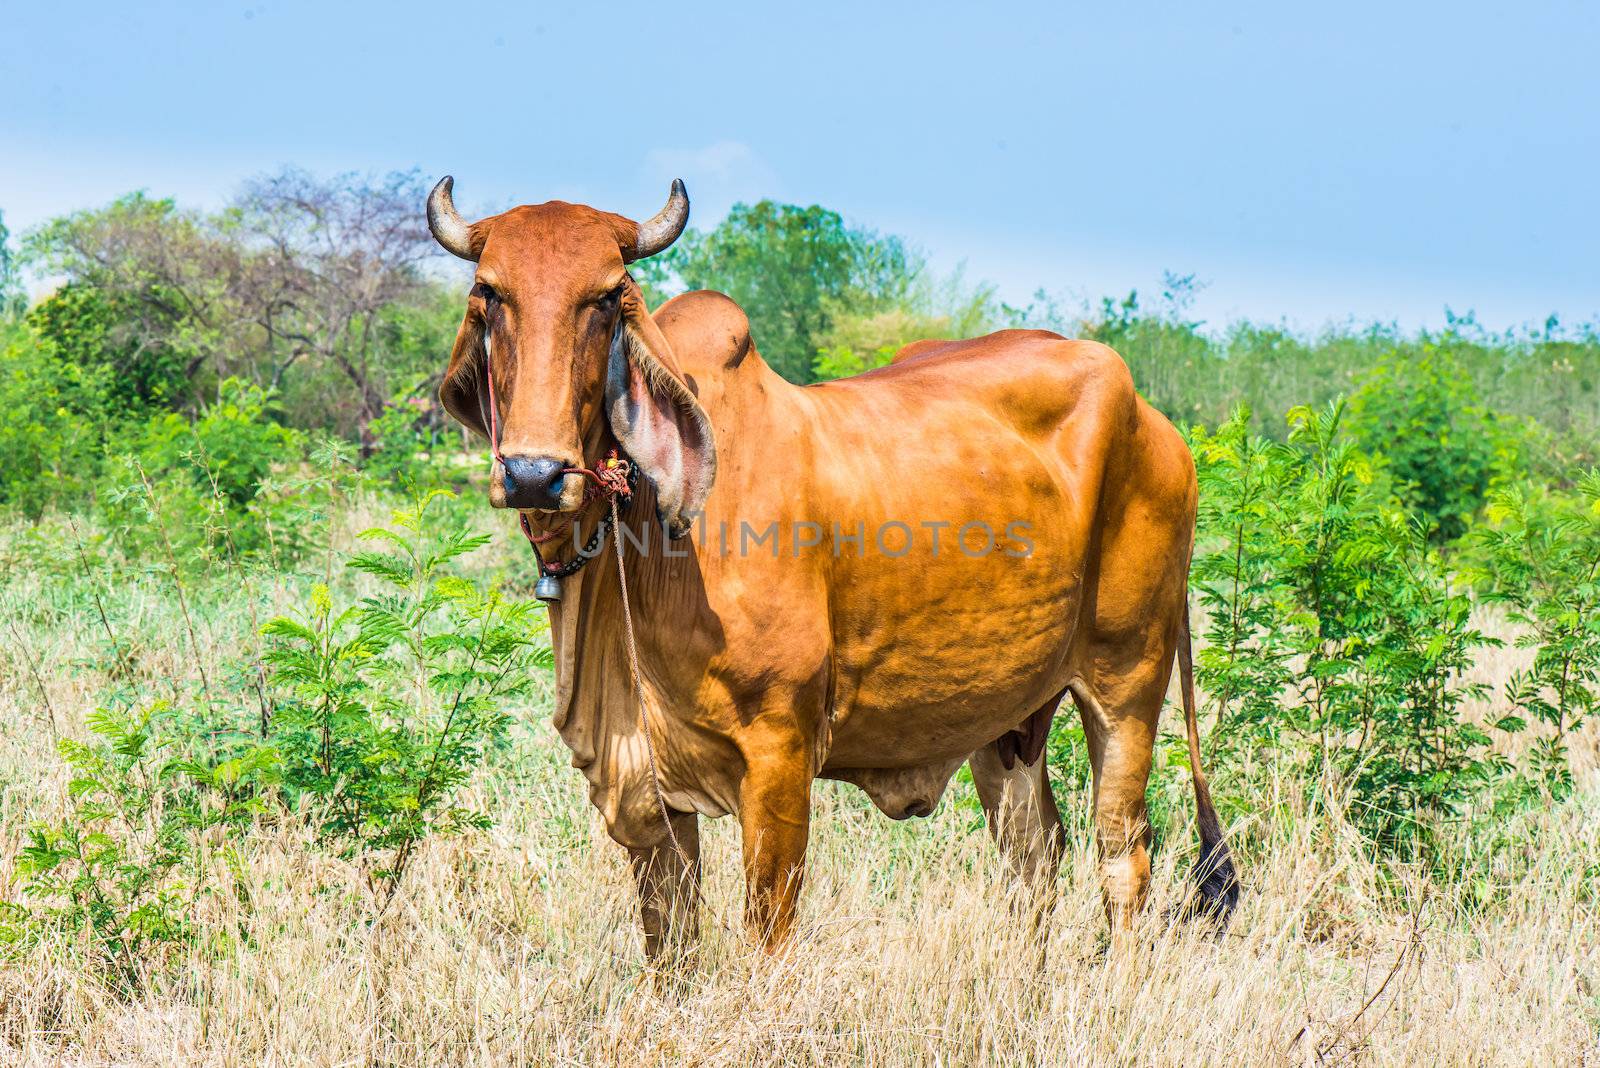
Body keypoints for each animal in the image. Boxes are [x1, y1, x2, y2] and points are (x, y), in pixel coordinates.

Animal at [425, 177, 1235, 959]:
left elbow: (768, 930)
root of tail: (1158, 425)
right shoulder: (647, 793)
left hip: (1127, 681)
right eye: (487, 294)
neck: (642, 546)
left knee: (1121, 856)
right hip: (1008, 722)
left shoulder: (779, 754)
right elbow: (672, 948)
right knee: (1034, 858)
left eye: (605, 298)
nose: (533, 473)